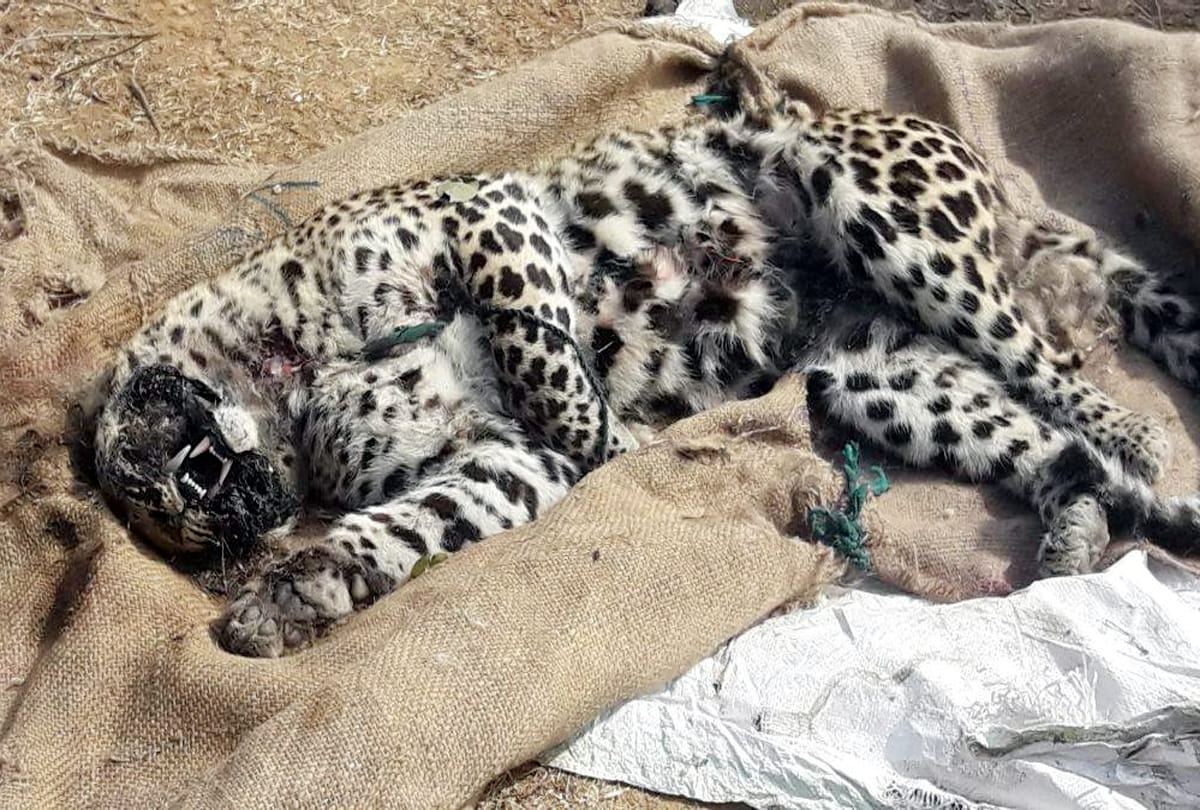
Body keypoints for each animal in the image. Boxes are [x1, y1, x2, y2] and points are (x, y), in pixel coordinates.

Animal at [89, 94, 1200, 657]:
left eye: (197, 475)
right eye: (194, 524)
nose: (257, 518)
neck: (291, 379)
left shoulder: (490, 213)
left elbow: (546, 362)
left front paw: (616, 437)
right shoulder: (496, 457)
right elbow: (421, 520)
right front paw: (298, 593)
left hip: (889, 220)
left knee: (1048, 368)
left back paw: (1139, 445)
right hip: (884, 378)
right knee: (1038, 440)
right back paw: (1081, 527)